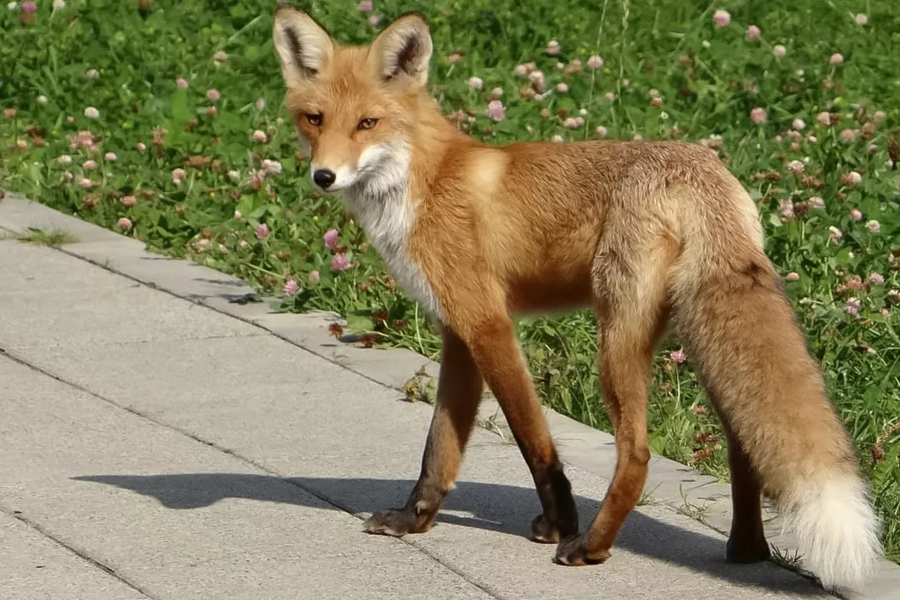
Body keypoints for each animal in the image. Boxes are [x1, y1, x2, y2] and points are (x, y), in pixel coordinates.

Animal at [272, 5, 880, 596]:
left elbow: (532, 439)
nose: (323, 175)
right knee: (743, 444)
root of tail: (700, 170)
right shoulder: (458, 332)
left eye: (367, 123)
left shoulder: (487, 324)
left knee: (637, 453)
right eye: (315, 119)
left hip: (617, 344)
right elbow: (439, 449)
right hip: (704, 344)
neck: (423, 182)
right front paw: (412, 520)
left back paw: (590, 546)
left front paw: (559, 522)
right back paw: (746, 551)